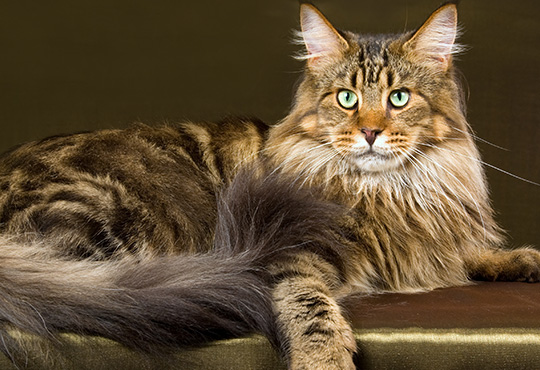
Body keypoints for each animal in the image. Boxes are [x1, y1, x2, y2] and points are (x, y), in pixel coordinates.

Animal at [1, 2, 540, 370]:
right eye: (346, 99)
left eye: (399, 98)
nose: (369, 131)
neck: (389, 192)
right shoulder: (285, 251)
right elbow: (310, 306)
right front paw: (324, 360)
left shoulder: (429, 240)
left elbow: (464, 253)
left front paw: (517, 259)